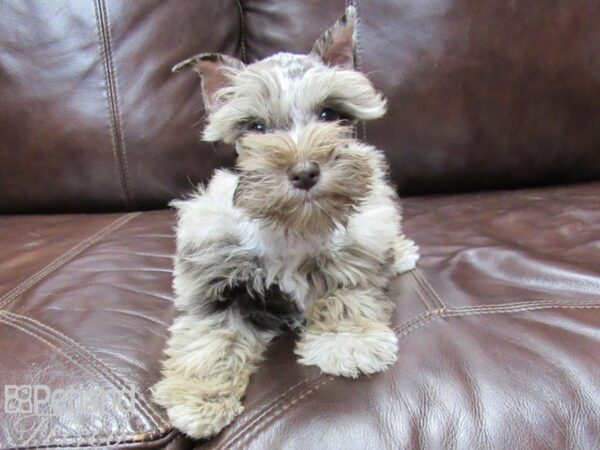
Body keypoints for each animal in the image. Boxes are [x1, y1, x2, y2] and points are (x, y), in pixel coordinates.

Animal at [152, 6, 420, 440]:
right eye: (256, 127)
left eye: (330, 114)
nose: (305, 171)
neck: (294, 227)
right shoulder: (217, 281)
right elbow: (210, 339)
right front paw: (199, 399)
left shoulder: (353, 257)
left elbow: (345, 296)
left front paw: (348, 343)